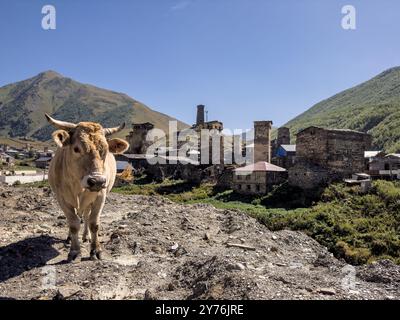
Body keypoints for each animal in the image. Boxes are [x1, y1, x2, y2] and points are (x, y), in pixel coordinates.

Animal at [45, 114, 130, 262]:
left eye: (106, 150)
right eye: (76, 149)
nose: (97, 181)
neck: (79, 186)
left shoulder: (100, 196)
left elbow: (93, 223)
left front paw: (95, 250)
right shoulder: (62, 199)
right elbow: (73, 224)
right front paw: (74, 251)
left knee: (86, 216)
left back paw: (86, 236)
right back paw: (70, 238)